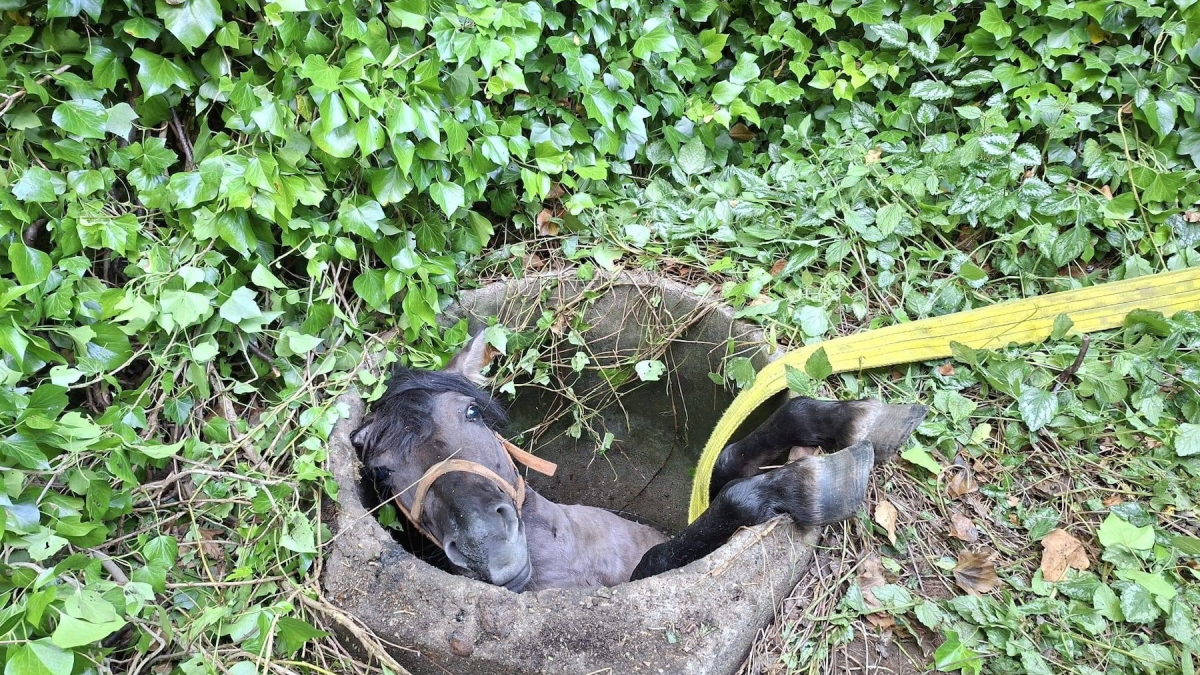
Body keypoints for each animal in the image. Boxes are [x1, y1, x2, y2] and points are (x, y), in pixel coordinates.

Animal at [351, 334, 928, 592]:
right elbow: (683, 539)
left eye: (471, 411)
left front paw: (857, 420)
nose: (485, 546)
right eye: (381, 472)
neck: (576, 558)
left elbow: (724, 464)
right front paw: (811, 483)